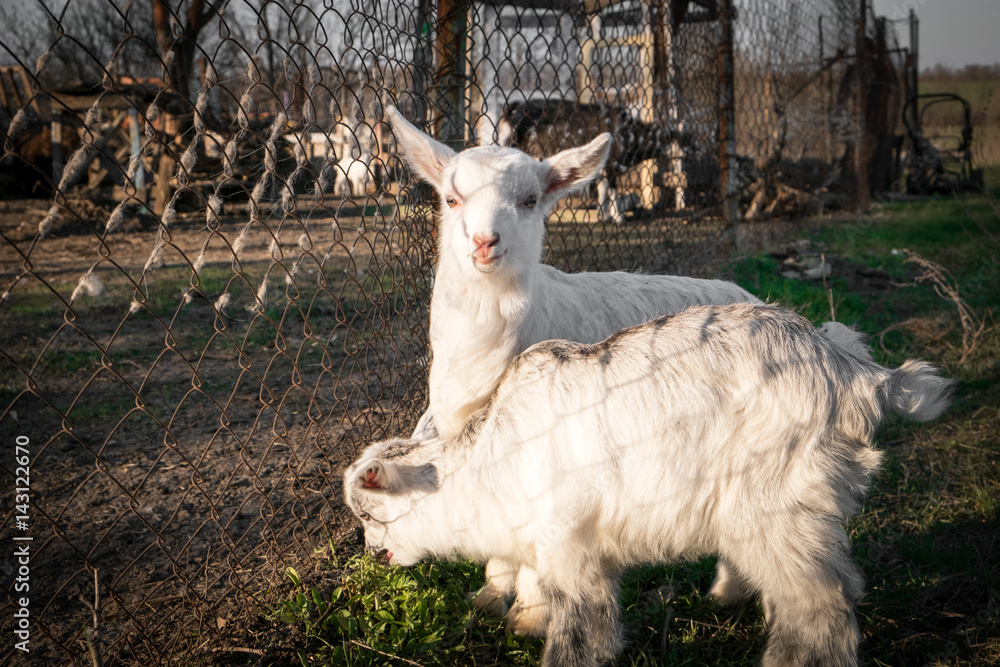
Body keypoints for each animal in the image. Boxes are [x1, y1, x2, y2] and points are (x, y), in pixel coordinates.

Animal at [346, 303, 953, 667]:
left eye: (369, 513)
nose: (374, 553)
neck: (496, 458)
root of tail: (859, 376)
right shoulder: (542, 539)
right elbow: (536, 587)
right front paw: (526, 620)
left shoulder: (573, 545)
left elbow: (581, 621)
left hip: (774, 505)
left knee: (820, 602)